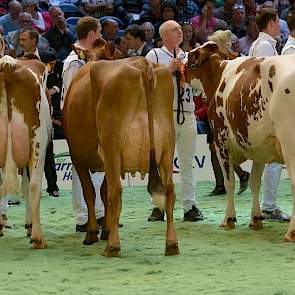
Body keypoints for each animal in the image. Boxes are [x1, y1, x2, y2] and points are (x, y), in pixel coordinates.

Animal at [0, 55, 51, 247]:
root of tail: (8, 64)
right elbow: (27, 185)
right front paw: (29, 225)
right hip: (38, 139)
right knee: (35, 185)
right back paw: (38, 237)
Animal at [63, 42, 179, 258]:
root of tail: (143, 65)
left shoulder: (78, 157)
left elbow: (92, 193)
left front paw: (93, 234)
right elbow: (102, 192)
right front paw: (106, 230)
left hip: (112, 147)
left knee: (115, 192)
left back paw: (113, 247)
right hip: (167, 147)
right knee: (169, 190)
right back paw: (171, 244)